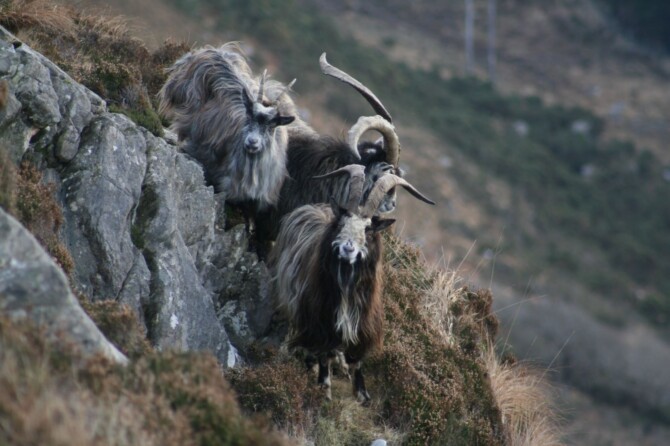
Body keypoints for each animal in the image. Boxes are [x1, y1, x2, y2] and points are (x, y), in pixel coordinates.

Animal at [270, 165, 434, 402]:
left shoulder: (363, 321)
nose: (347, 248)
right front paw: (325, 389)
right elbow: (325, 354)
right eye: (342, 223)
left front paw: (362, 395)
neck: (346, 286)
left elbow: (357, 359)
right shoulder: (323, 322)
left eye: (368, 229)